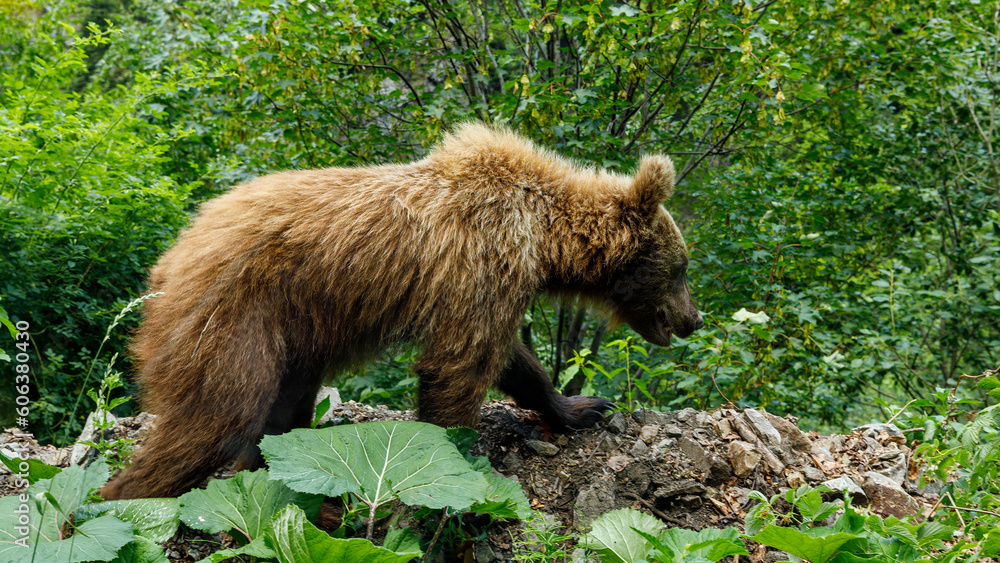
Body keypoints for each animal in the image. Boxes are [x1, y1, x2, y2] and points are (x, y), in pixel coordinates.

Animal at [99, 123, 703, 500]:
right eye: (681, 268)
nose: (692, 319)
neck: (545, 235)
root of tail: (169, 260)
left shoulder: (490, 285)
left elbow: (512, 360)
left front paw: (580, 407)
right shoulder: (485, 261)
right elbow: (458, 369)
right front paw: (457, 464)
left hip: (289, 335)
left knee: (279, 418)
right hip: (229, 320)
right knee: (214, 418)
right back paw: (122, 498)